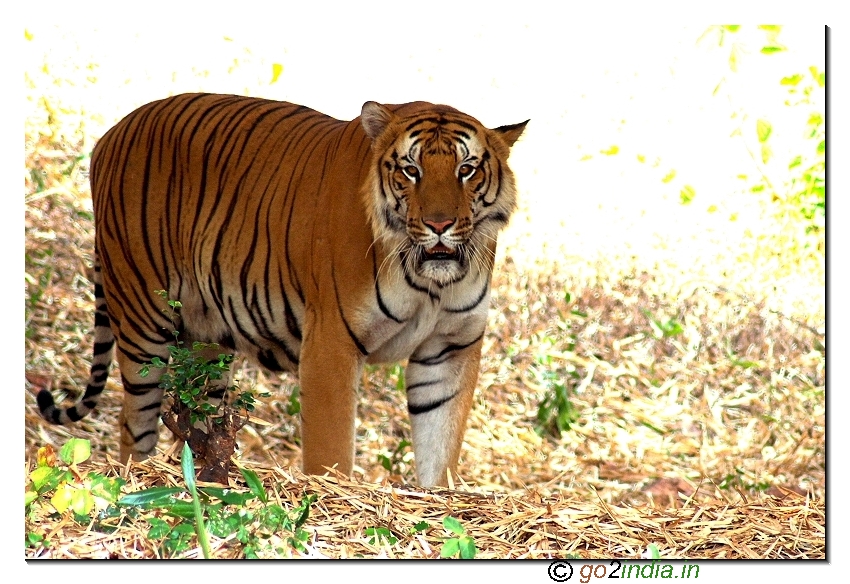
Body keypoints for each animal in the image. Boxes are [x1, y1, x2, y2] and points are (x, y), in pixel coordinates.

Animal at [37, 93, 528, 487]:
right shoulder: (331, 343)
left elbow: (439, 446)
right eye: (411, 170)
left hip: (206, 343)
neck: (430, 284)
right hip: (142, 320)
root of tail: (109, 134)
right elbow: (331, 450)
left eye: (466, 169)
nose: (439, 225)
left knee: (196, 422)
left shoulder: (449, 348)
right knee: (132, 420)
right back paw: (137, 477)